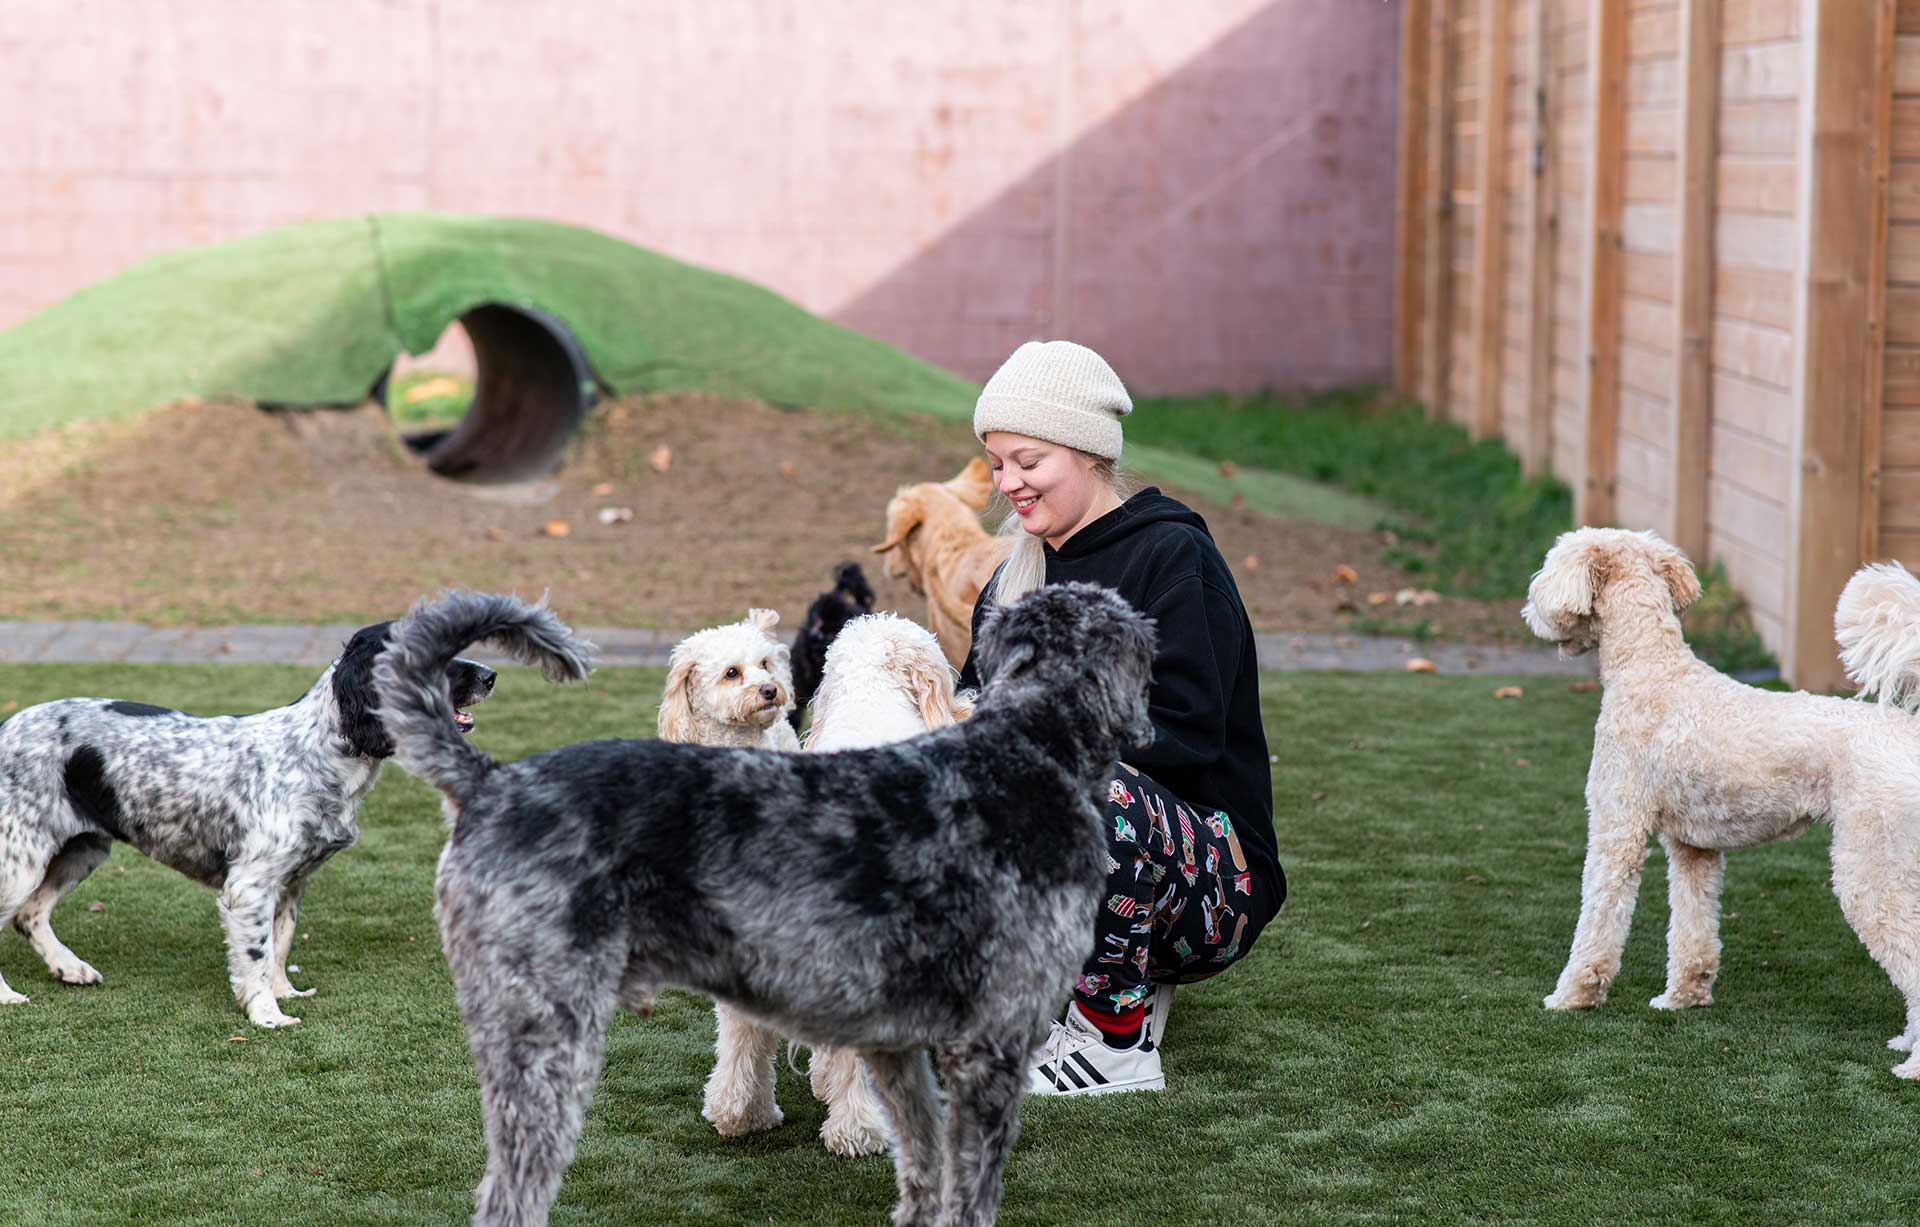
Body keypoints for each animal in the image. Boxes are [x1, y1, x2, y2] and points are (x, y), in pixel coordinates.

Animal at [0, 622, 495, 1026]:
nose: (490, 675)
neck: (316, 752)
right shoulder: (250, 884)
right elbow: (255, 956)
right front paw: (267, 1015)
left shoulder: (292, 881)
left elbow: (279, 945)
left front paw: (284, 993)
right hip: (22, 858)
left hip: (81, 849)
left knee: (30, 914)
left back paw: (70, 968)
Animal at [1524, 527, 1920, 1078]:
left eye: (1549, 566)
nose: (1530, 608)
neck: (1652, 671)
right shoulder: (1693, 848)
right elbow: (1693, 930)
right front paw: (1682, 999)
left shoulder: (1616, 829)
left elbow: (1598, 920)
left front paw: (1572, 996)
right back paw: (1906, 1041)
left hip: (1871, 870)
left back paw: (1914, 1066)